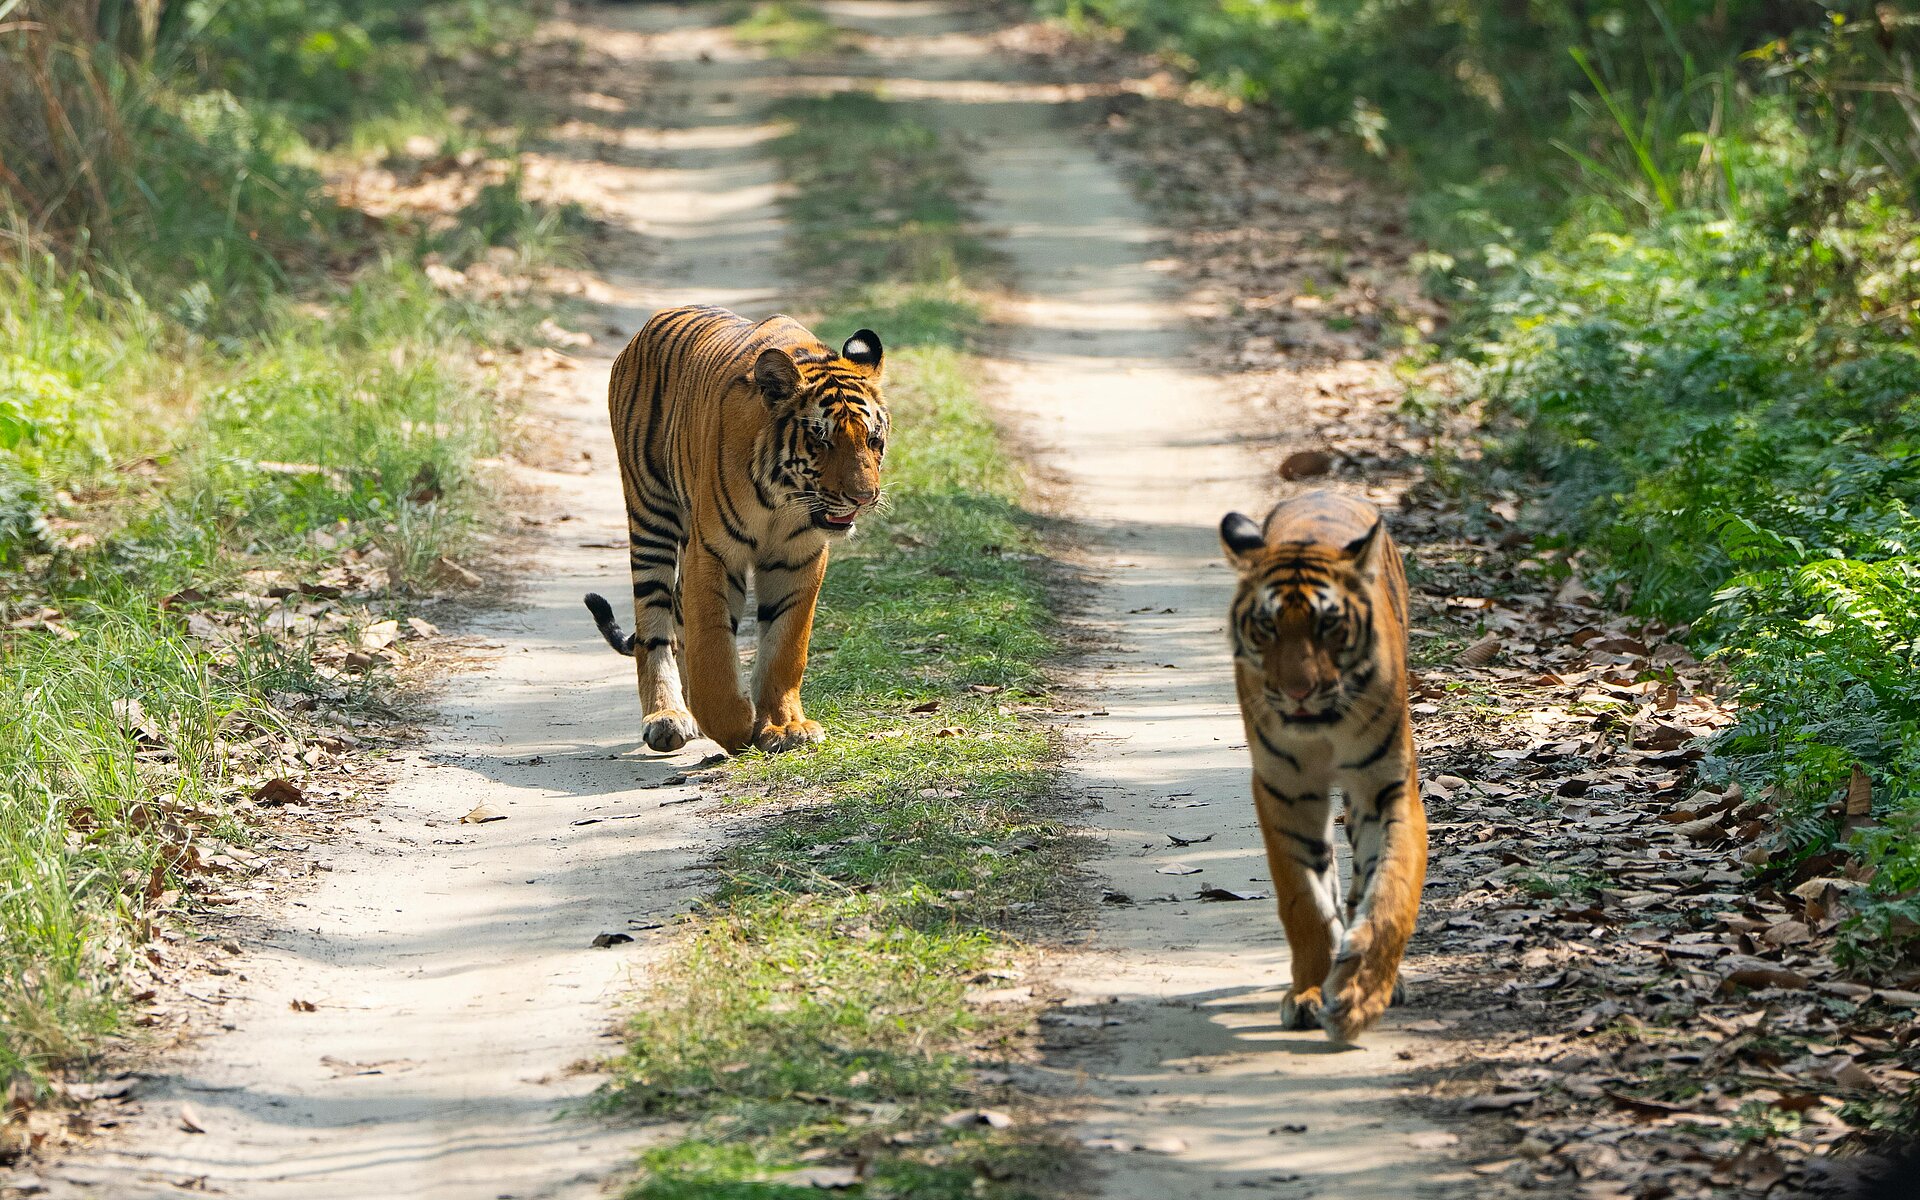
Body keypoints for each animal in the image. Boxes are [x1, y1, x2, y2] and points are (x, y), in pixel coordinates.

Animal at [581, 304, 887, 756]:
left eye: (873, 439)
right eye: (821, 439)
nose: (864, 498)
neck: (784, 499)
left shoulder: (799, 557)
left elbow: (785, 645)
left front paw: (784, 726)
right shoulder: (714, 552)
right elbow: (712, 645)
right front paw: (731, 726)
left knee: (677, 609)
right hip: (649, 511)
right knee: (653, 623)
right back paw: (667, 717)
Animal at [1219, 490, 1428, 1041]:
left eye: (1328, 624)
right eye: (1267, 625)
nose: (1298, 692)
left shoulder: (1387, 785)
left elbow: (1391, 891)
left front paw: (1361, 995)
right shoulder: (1285, 790)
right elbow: (1305, 901)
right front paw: (1311, 992)